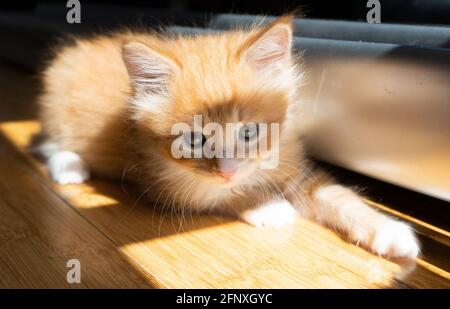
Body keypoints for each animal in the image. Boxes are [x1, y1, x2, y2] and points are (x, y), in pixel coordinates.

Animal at [37, 16, 418, 258]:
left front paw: (388, 230)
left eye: (249, 132)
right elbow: (224, 194)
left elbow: (336, 195)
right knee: (50, 142)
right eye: (193, 140)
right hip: (58, 106)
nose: (227, 170)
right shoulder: (171, 187)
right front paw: (268, 206)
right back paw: (69, 167)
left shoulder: (293, 166)